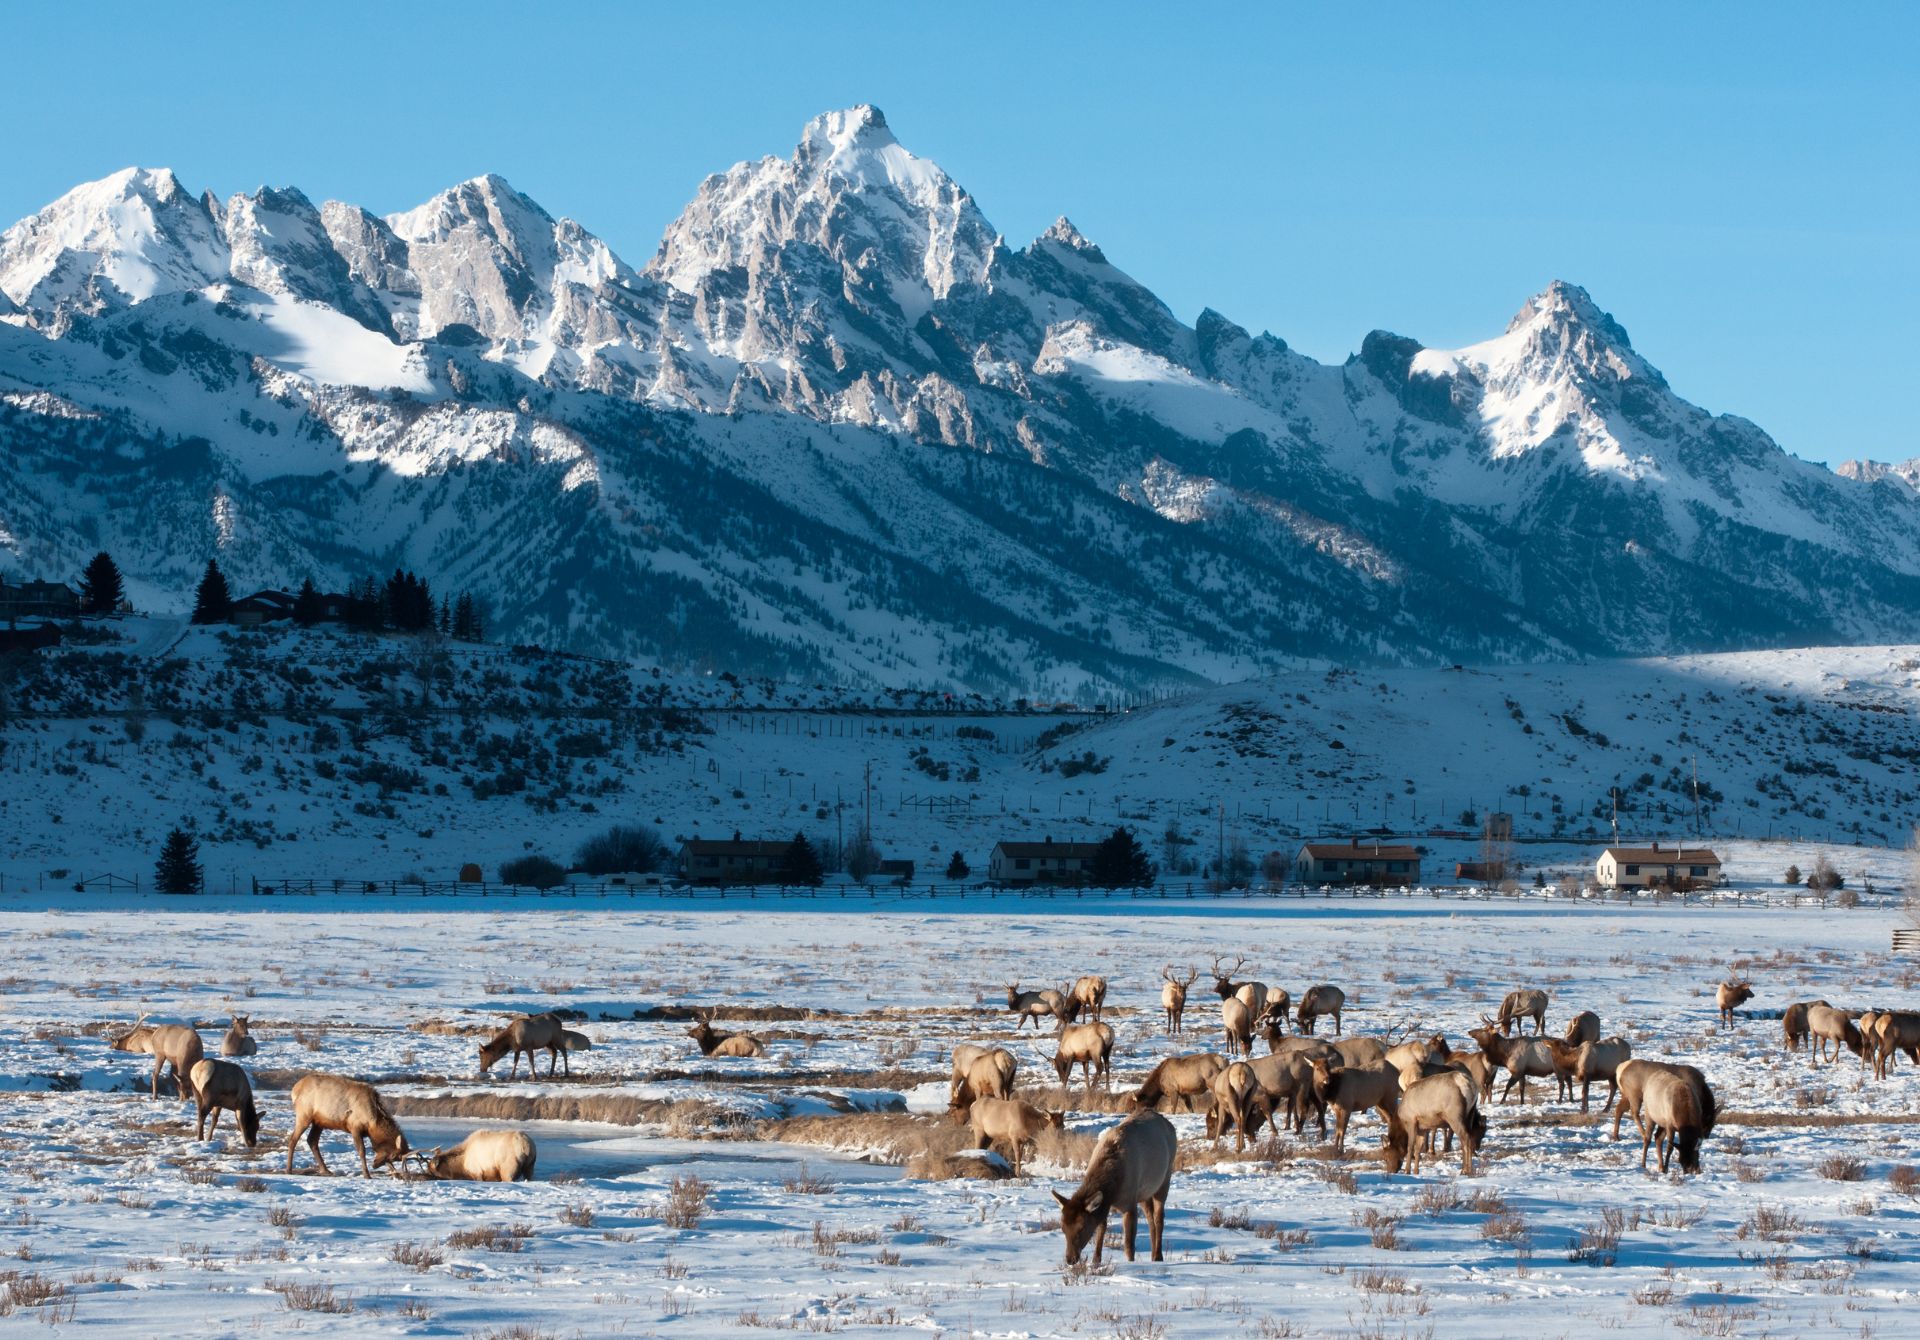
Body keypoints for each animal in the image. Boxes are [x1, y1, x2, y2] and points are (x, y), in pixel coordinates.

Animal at [1052, 1098, 1167, 1259]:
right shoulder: (1107, 1203)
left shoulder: (1129, 1203)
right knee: (1150, 1217)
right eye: (1063, 1228)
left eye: (1081, 1228)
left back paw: (1158, 1256)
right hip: (1145, 1192)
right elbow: (1101, 1229)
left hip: (1165, 1178)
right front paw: (1095, 1260)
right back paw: (1152, 1254)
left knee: (1159, 1217)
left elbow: (1128, 1245)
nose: (1070, 1259)